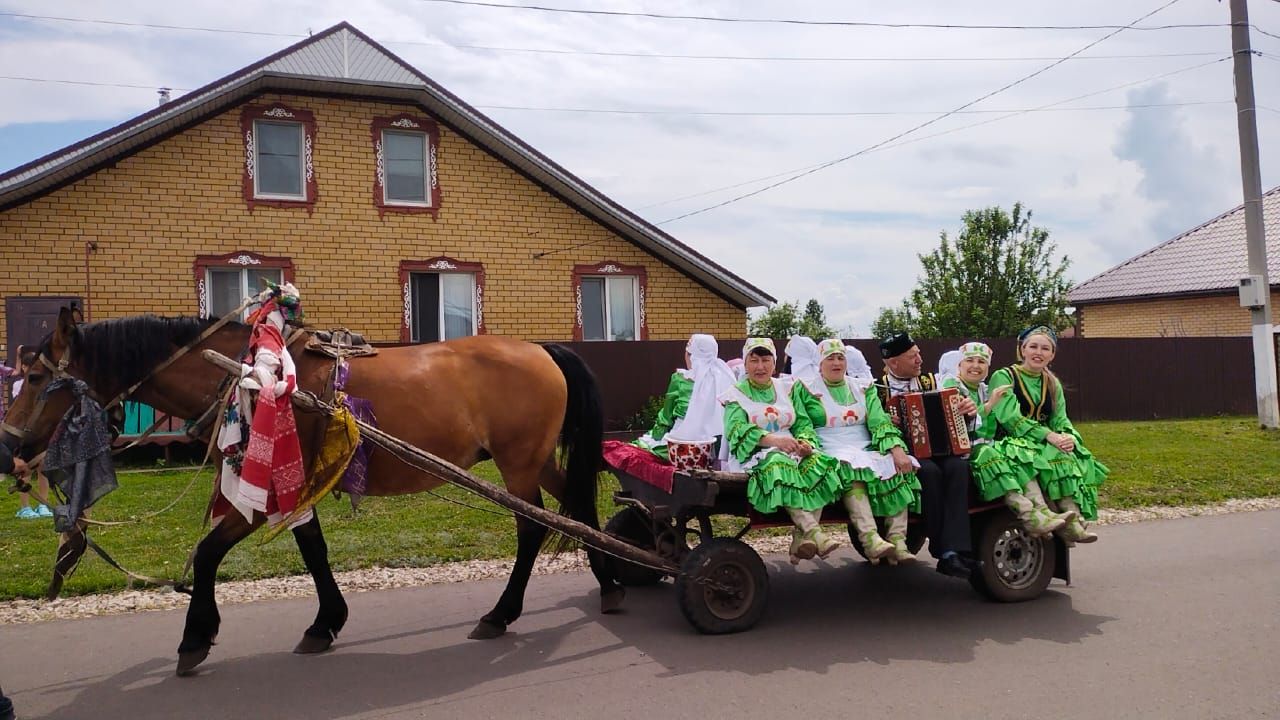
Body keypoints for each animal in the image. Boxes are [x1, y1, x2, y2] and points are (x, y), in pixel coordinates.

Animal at [0, 307, 619, 671]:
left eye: (36, 376)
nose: (7, 450)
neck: (247, 374)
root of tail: (541, 348)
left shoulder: (264, 491)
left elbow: (209, 553)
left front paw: (195, 637)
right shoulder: (294, 482)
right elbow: (313, 550)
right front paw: (326, 622)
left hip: (518, 465)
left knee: (534, 528)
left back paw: (502, 612)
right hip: (535, 462)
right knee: (580, 510)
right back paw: (610, 585)